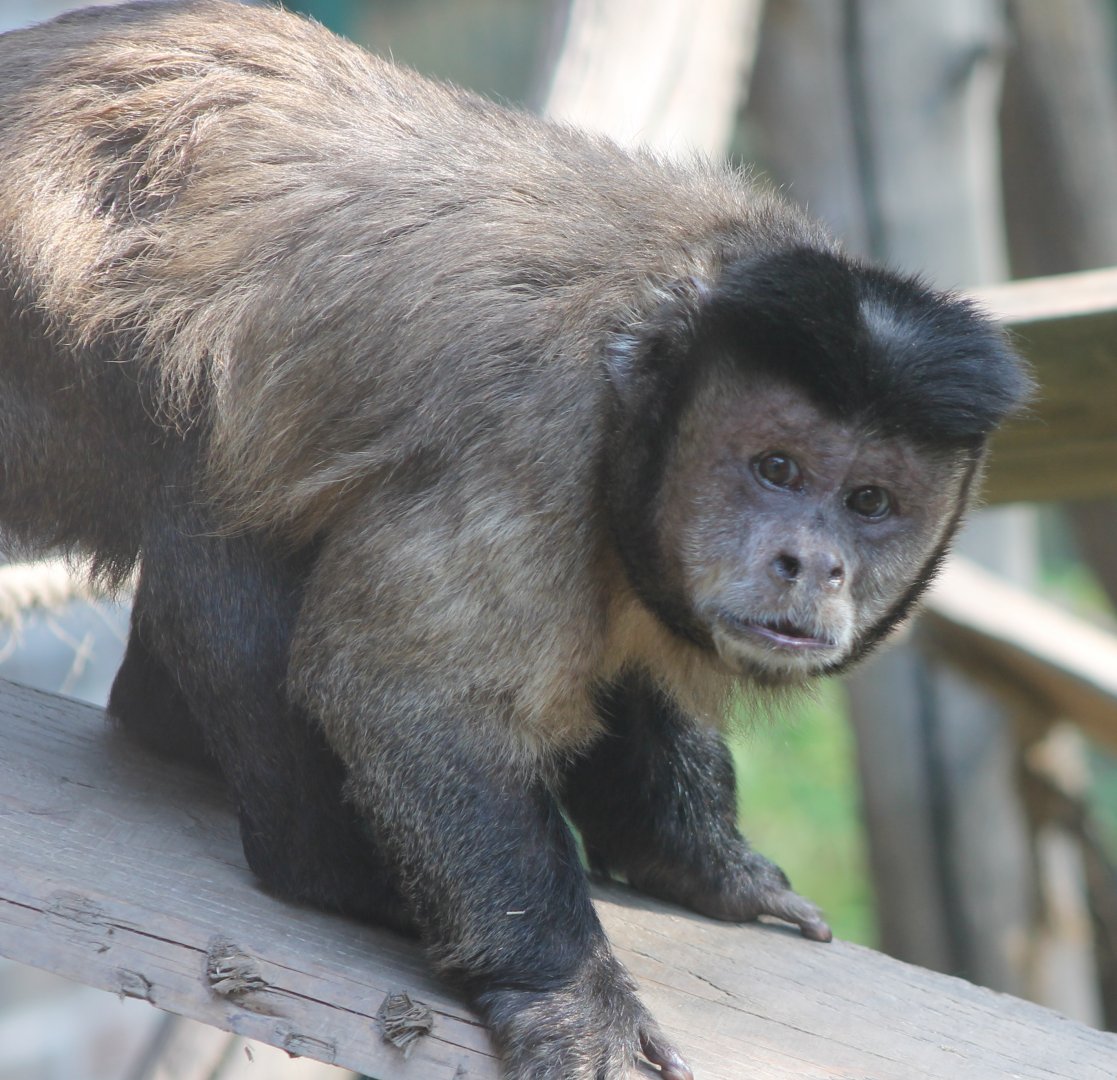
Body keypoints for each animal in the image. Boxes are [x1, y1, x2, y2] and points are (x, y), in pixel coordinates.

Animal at [0, 3, 1030, 1078]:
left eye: (869, 502)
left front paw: (696, 862)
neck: (657, 348)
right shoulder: (539, 432)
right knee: (210, 491)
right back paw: (330, 870)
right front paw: (564, 993)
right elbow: (413, 700)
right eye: (777, 470)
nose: (810, 562)